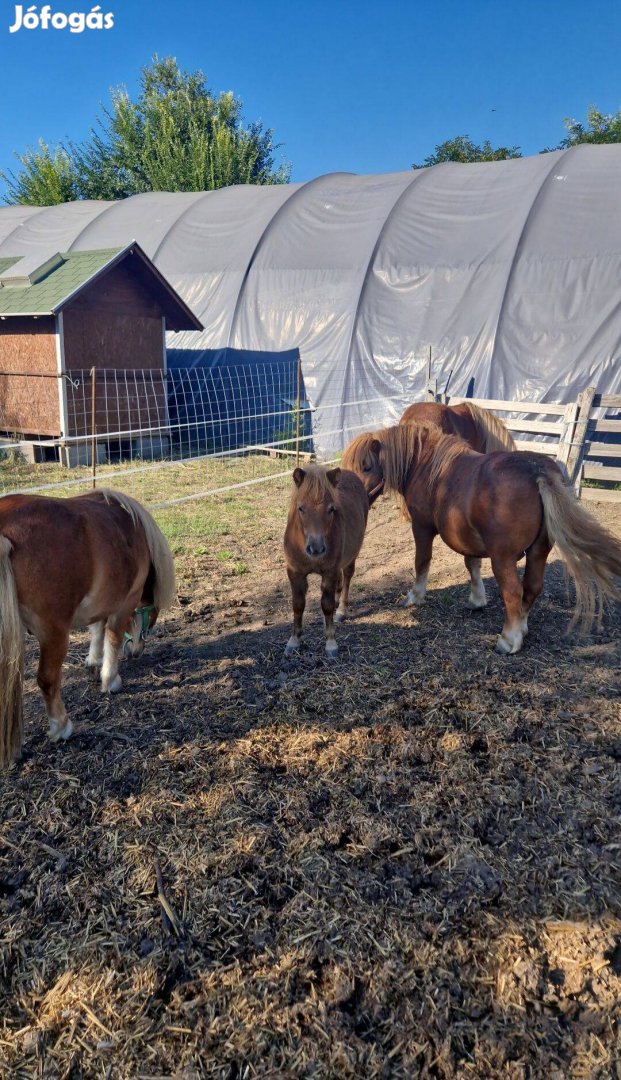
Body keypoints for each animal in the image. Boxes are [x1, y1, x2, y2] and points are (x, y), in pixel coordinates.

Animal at [0, 490, 176, 768]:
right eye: (152, 612)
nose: (137, 650)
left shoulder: (102, 599)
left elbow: (97, 628)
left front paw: (93, 662)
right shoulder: (124, 603)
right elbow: (112, 637)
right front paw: (110, 679)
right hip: (54, 635)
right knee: (48, 680)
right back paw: (61, 727)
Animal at [285, 466, 369, 656]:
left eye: (331, 509)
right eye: (301, 508)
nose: (316, 548)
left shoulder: (329, 572)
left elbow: (327, 605)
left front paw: (331, 643)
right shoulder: (295, 572)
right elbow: (298, 604)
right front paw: (294, 640)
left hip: (351, 556)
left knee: (346, 578)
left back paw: (342, 610)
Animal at [341, 425, 621, 652]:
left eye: (367, 466)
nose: (352, 496)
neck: (426, 466)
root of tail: (538, 472)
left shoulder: (422, 528)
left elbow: (422, 562)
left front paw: (414, 597)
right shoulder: (468, 537)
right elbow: (472, 564)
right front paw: (476, 600)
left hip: (503, 558)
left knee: (513, 591)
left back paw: (509, 640)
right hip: (538, 552)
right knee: (531, 588)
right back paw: (522, 628)